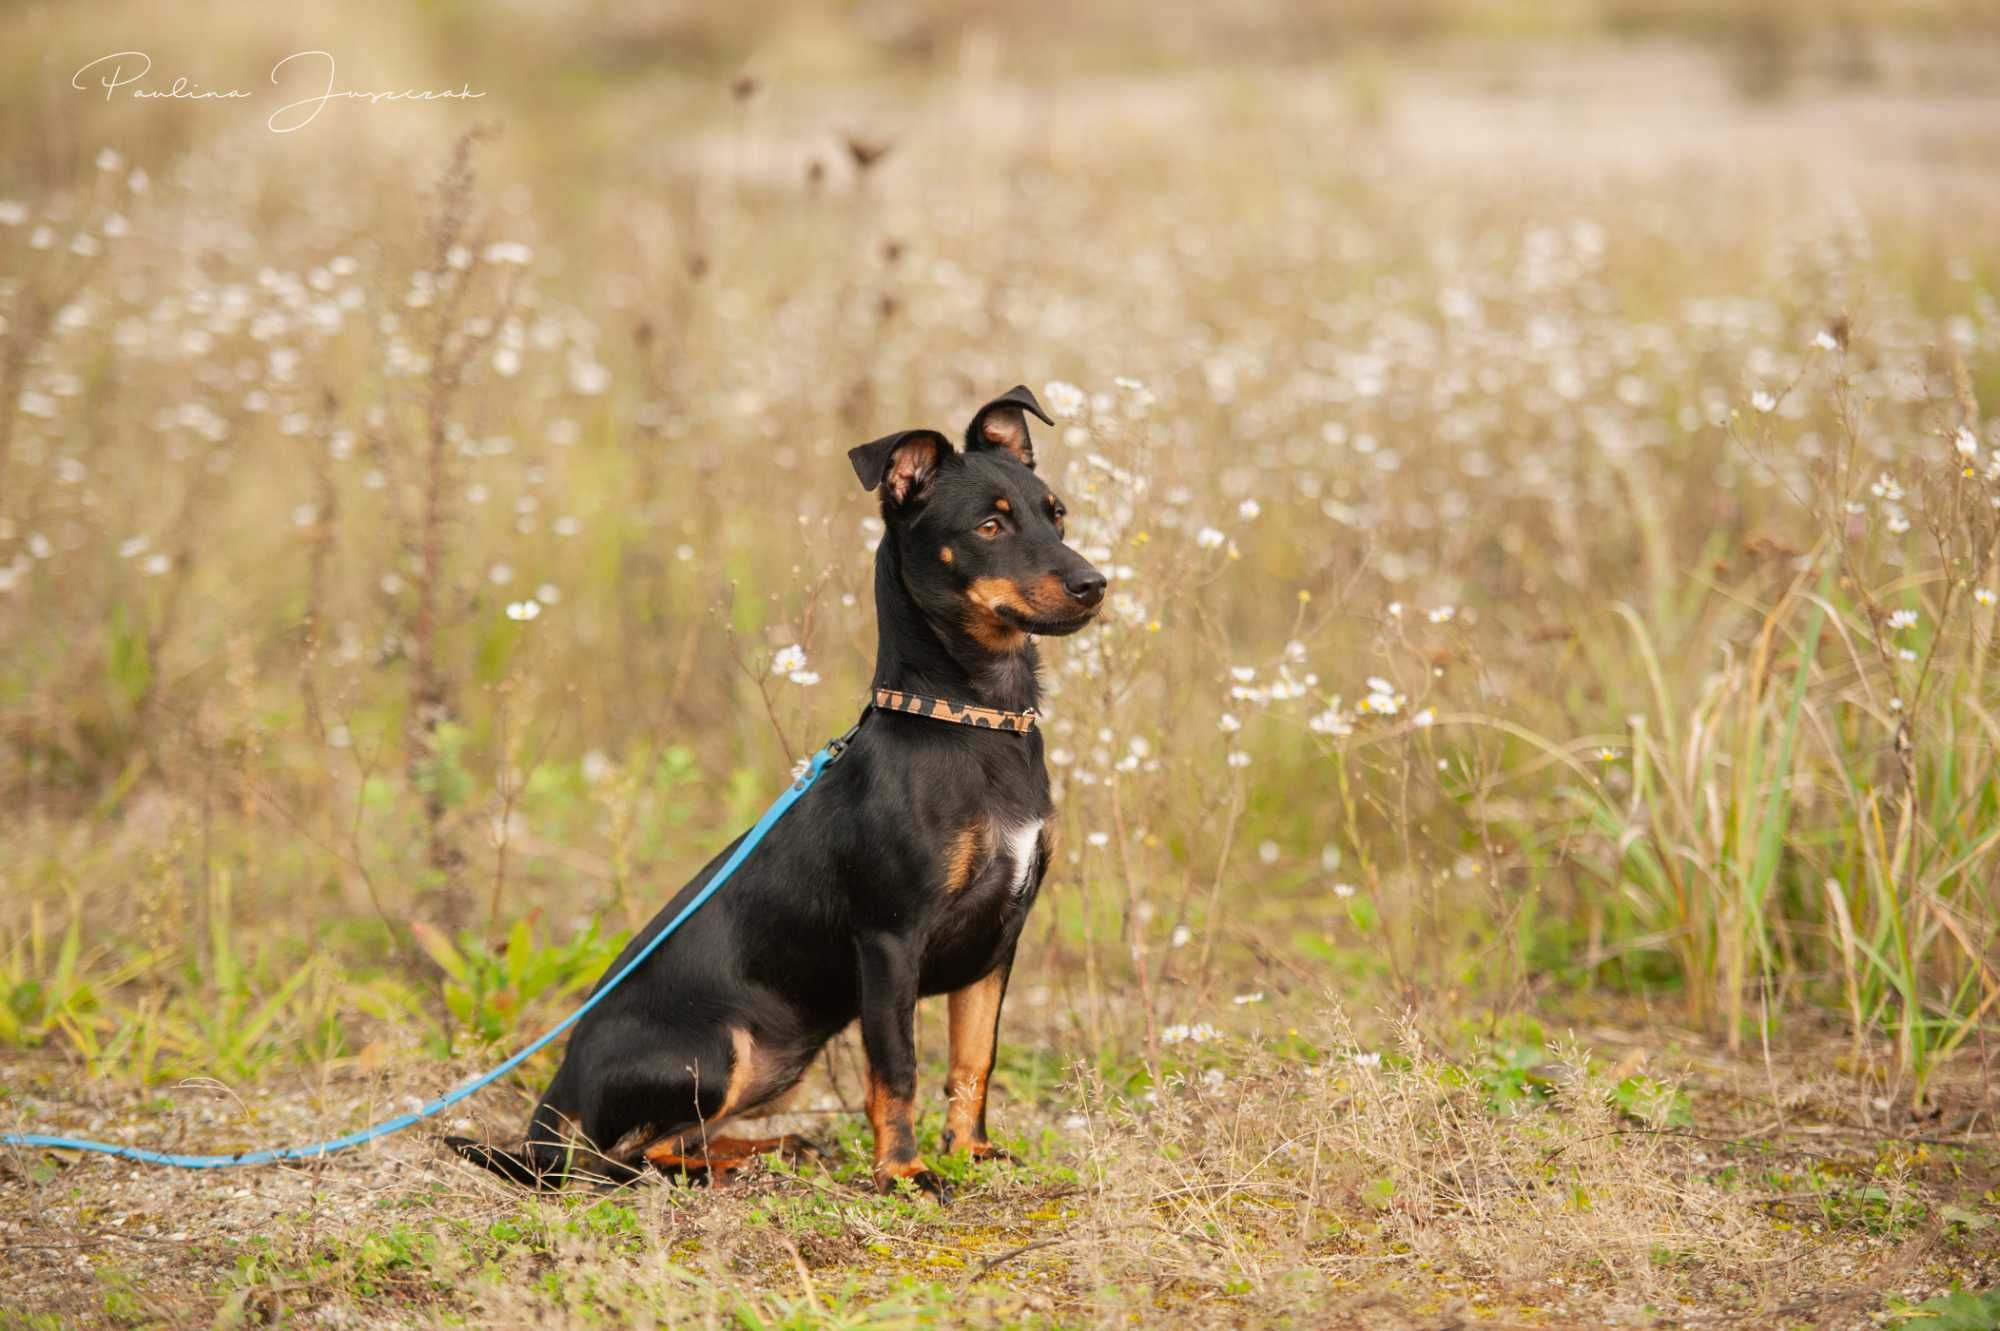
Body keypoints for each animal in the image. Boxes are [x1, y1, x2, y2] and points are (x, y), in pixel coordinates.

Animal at [448, 383, 1112, 1191]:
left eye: (1057, 513)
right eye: (989, 526)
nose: (1094, 584)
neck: (973, 720)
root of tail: (557, 1089)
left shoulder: (996, 943)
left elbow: (973, 1060)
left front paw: (971, 1151)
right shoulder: (889, 941)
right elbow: (898, 1070)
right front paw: (904, 1172)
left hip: (777, 1057)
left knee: (674, 1140)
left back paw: (772, 1149)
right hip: (719, 1048)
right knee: (624, 1156)